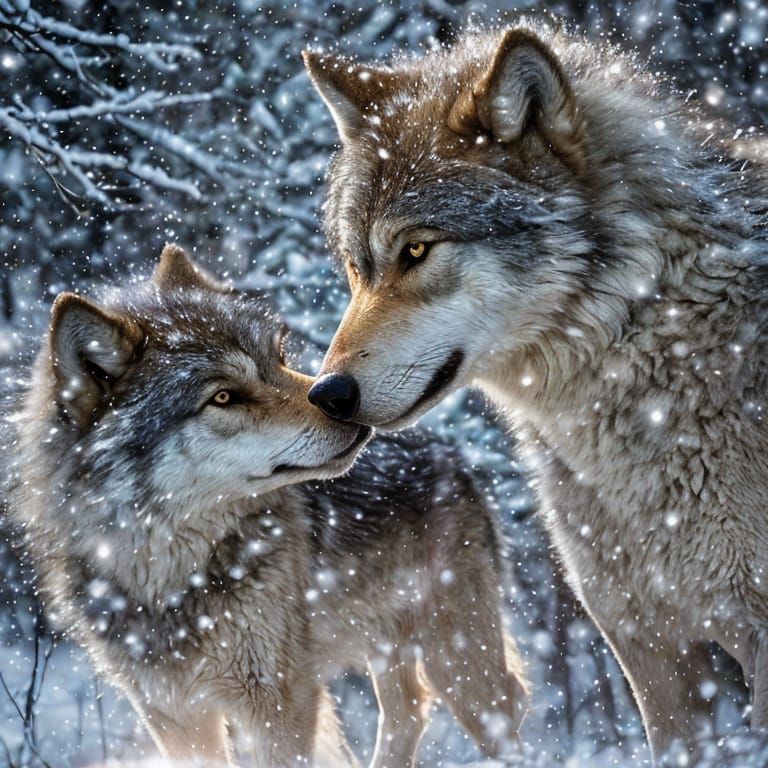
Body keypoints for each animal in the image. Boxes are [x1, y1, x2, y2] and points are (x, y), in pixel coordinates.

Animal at [9, 245, 527, 767]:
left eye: (277, 358)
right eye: (222, 396)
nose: (343, 405)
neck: (172, 579)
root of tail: (452, 454)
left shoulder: (281, 701)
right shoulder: (173, 716)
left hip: (458, 663)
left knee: (507, 706)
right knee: (411, 711)